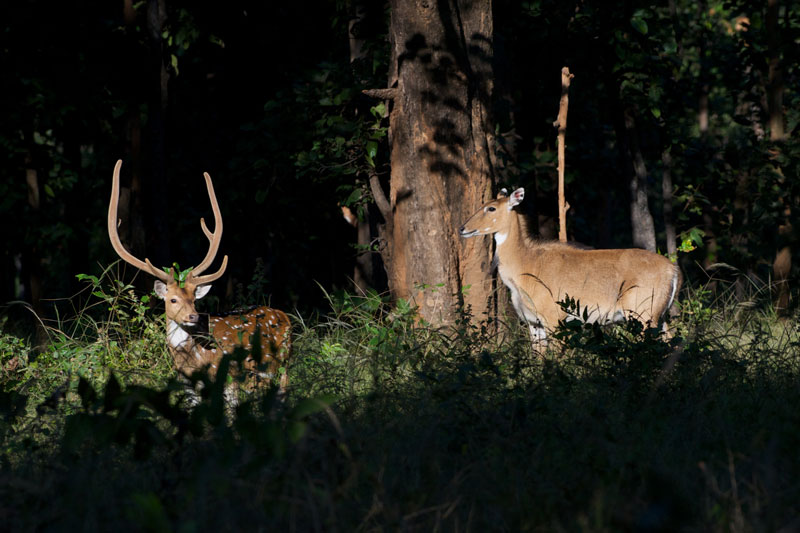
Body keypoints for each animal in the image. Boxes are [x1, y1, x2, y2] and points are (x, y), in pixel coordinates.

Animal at [108, 160, 292, 388]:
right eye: (173, 299)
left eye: (194, 299)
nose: (193, 316)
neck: (195, 360)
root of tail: (285, 316)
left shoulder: (228, 378)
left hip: (276, 367)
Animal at [460, 187, 680, 344]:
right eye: (484, 204)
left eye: (491, 208)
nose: (462, 228)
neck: (524, 268)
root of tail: (673, 271)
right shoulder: (533, 322)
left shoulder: (554, 317)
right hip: (658, 316)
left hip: (642, 313)